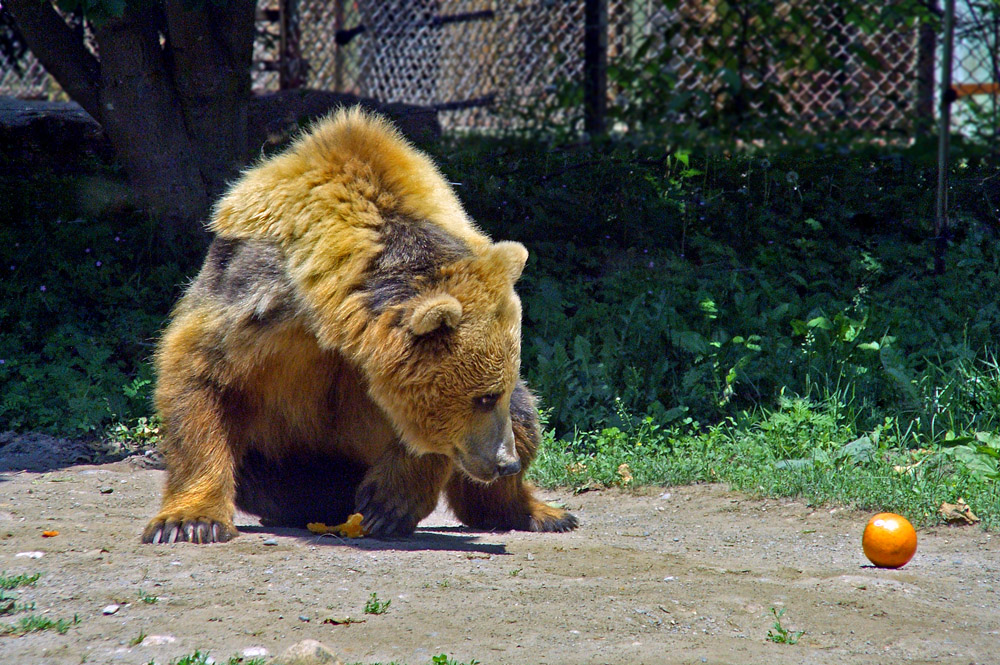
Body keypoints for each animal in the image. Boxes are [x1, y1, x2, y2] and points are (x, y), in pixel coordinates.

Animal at [142, 106, 580, 544]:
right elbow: (200, 375)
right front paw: (189, 521)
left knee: (527, 417)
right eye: (485, 397)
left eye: (497, 392)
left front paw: (388, 503)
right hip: (281, 460)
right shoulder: (253, 304)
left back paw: (539, 512)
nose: (505, 462)